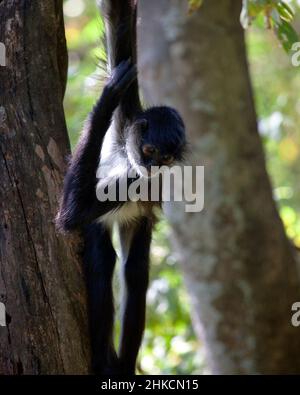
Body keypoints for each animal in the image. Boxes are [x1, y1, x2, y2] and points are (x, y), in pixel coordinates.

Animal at [56, 0, 185, 374]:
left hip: (134, 221)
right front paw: (108, 94)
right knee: (105, 259)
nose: (152, 167)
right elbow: (119, 18)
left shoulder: (147, 185)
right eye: (150, 150)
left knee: (134, 271)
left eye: (167, 158)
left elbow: (71, 214)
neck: (127, 159)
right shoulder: (126, 116)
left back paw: (118, 365)